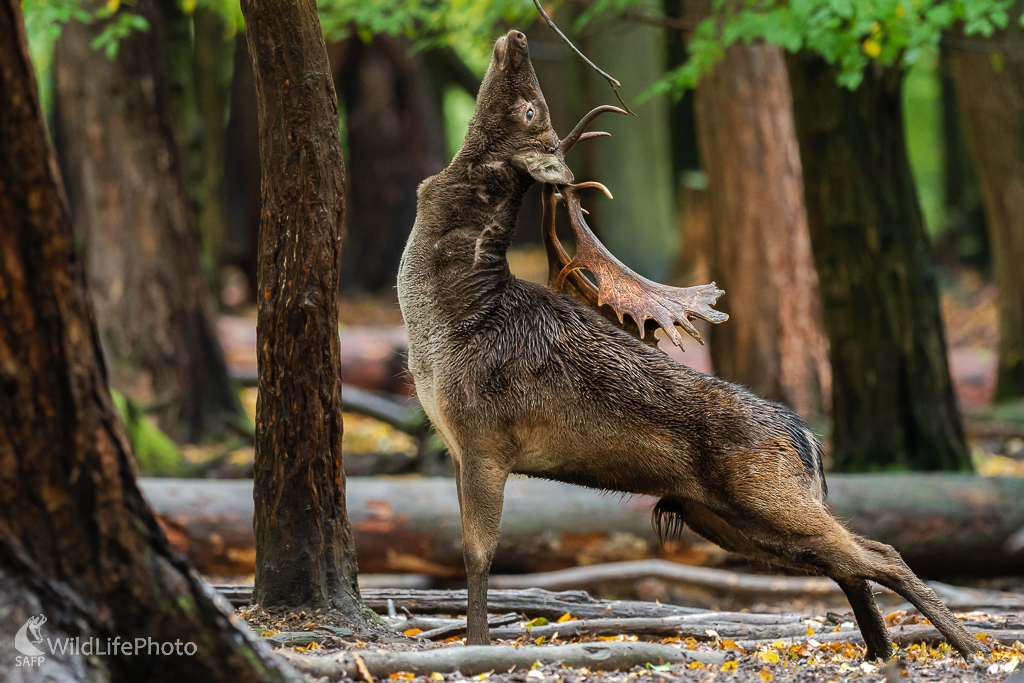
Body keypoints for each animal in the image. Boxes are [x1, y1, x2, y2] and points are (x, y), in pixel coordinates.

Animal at [395, 28, 978, 663]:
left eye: (531, 110)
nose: (518, 36)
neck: (448, 320)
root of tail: (807, 440)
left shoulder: (485, 440)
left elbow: (477, 558)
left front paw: (477, 648)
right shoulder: (459, 447)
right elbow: (471, 554)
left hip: (771, 499)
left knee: (880, 554)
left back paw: (967, 647)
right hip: (727, 519)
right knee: (849, 561)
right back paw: (881, 651)